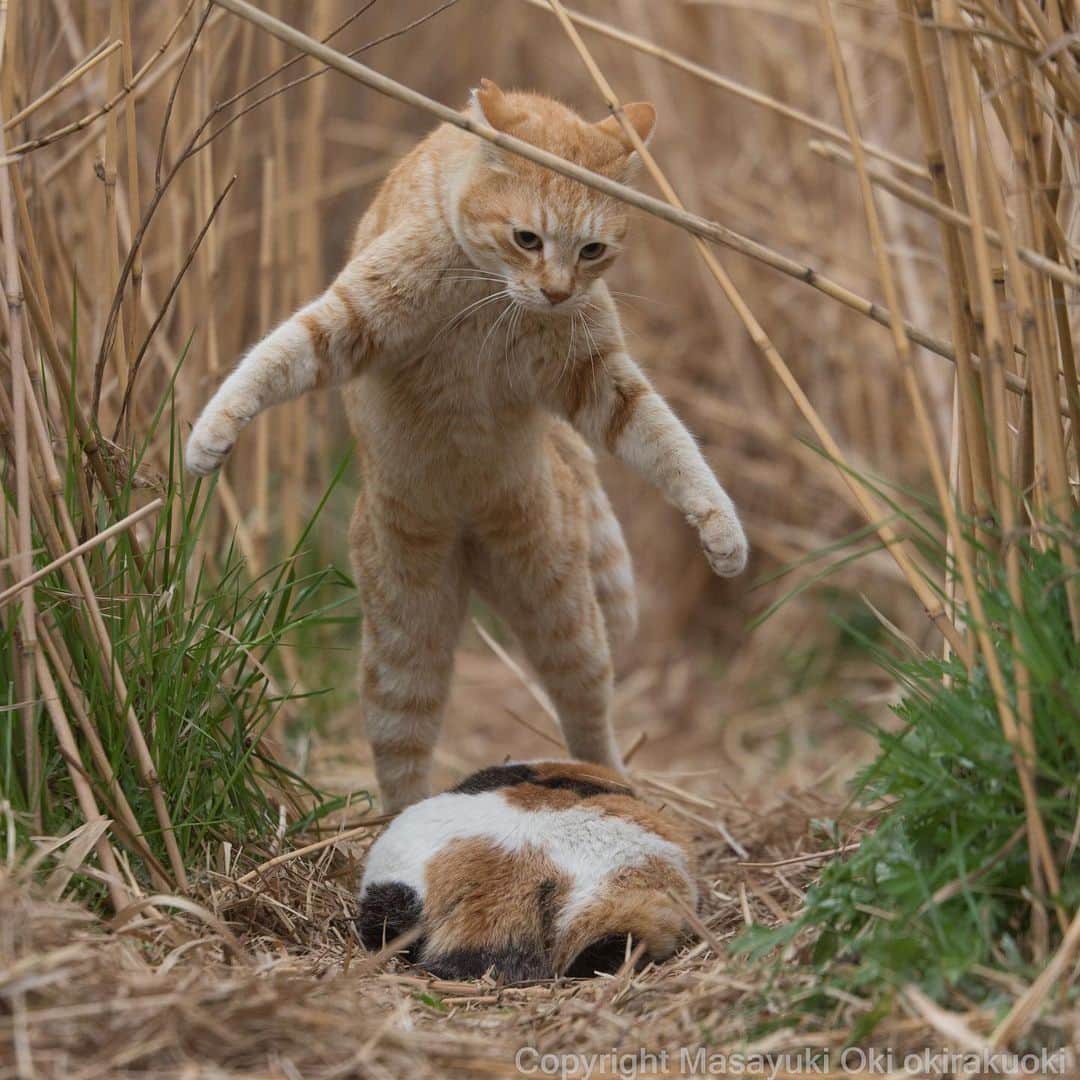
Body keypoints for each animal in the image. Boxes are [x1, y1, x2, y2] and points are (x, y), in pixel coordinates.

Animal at [185, 79, 747, 812]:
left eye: (591, 250)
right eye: (527, 238)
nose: (557, 292)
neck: (491, 302)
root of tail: (469, 541)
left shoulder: (599, 381)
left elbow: (668, 441)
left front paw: (720, 527)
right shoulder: (353, 320)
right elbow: (275, 357)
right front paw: (212, 432)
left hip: (563, 615)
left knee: (587, 713)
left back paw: (609, 783)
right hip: (405, 646)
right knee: (403, 750)